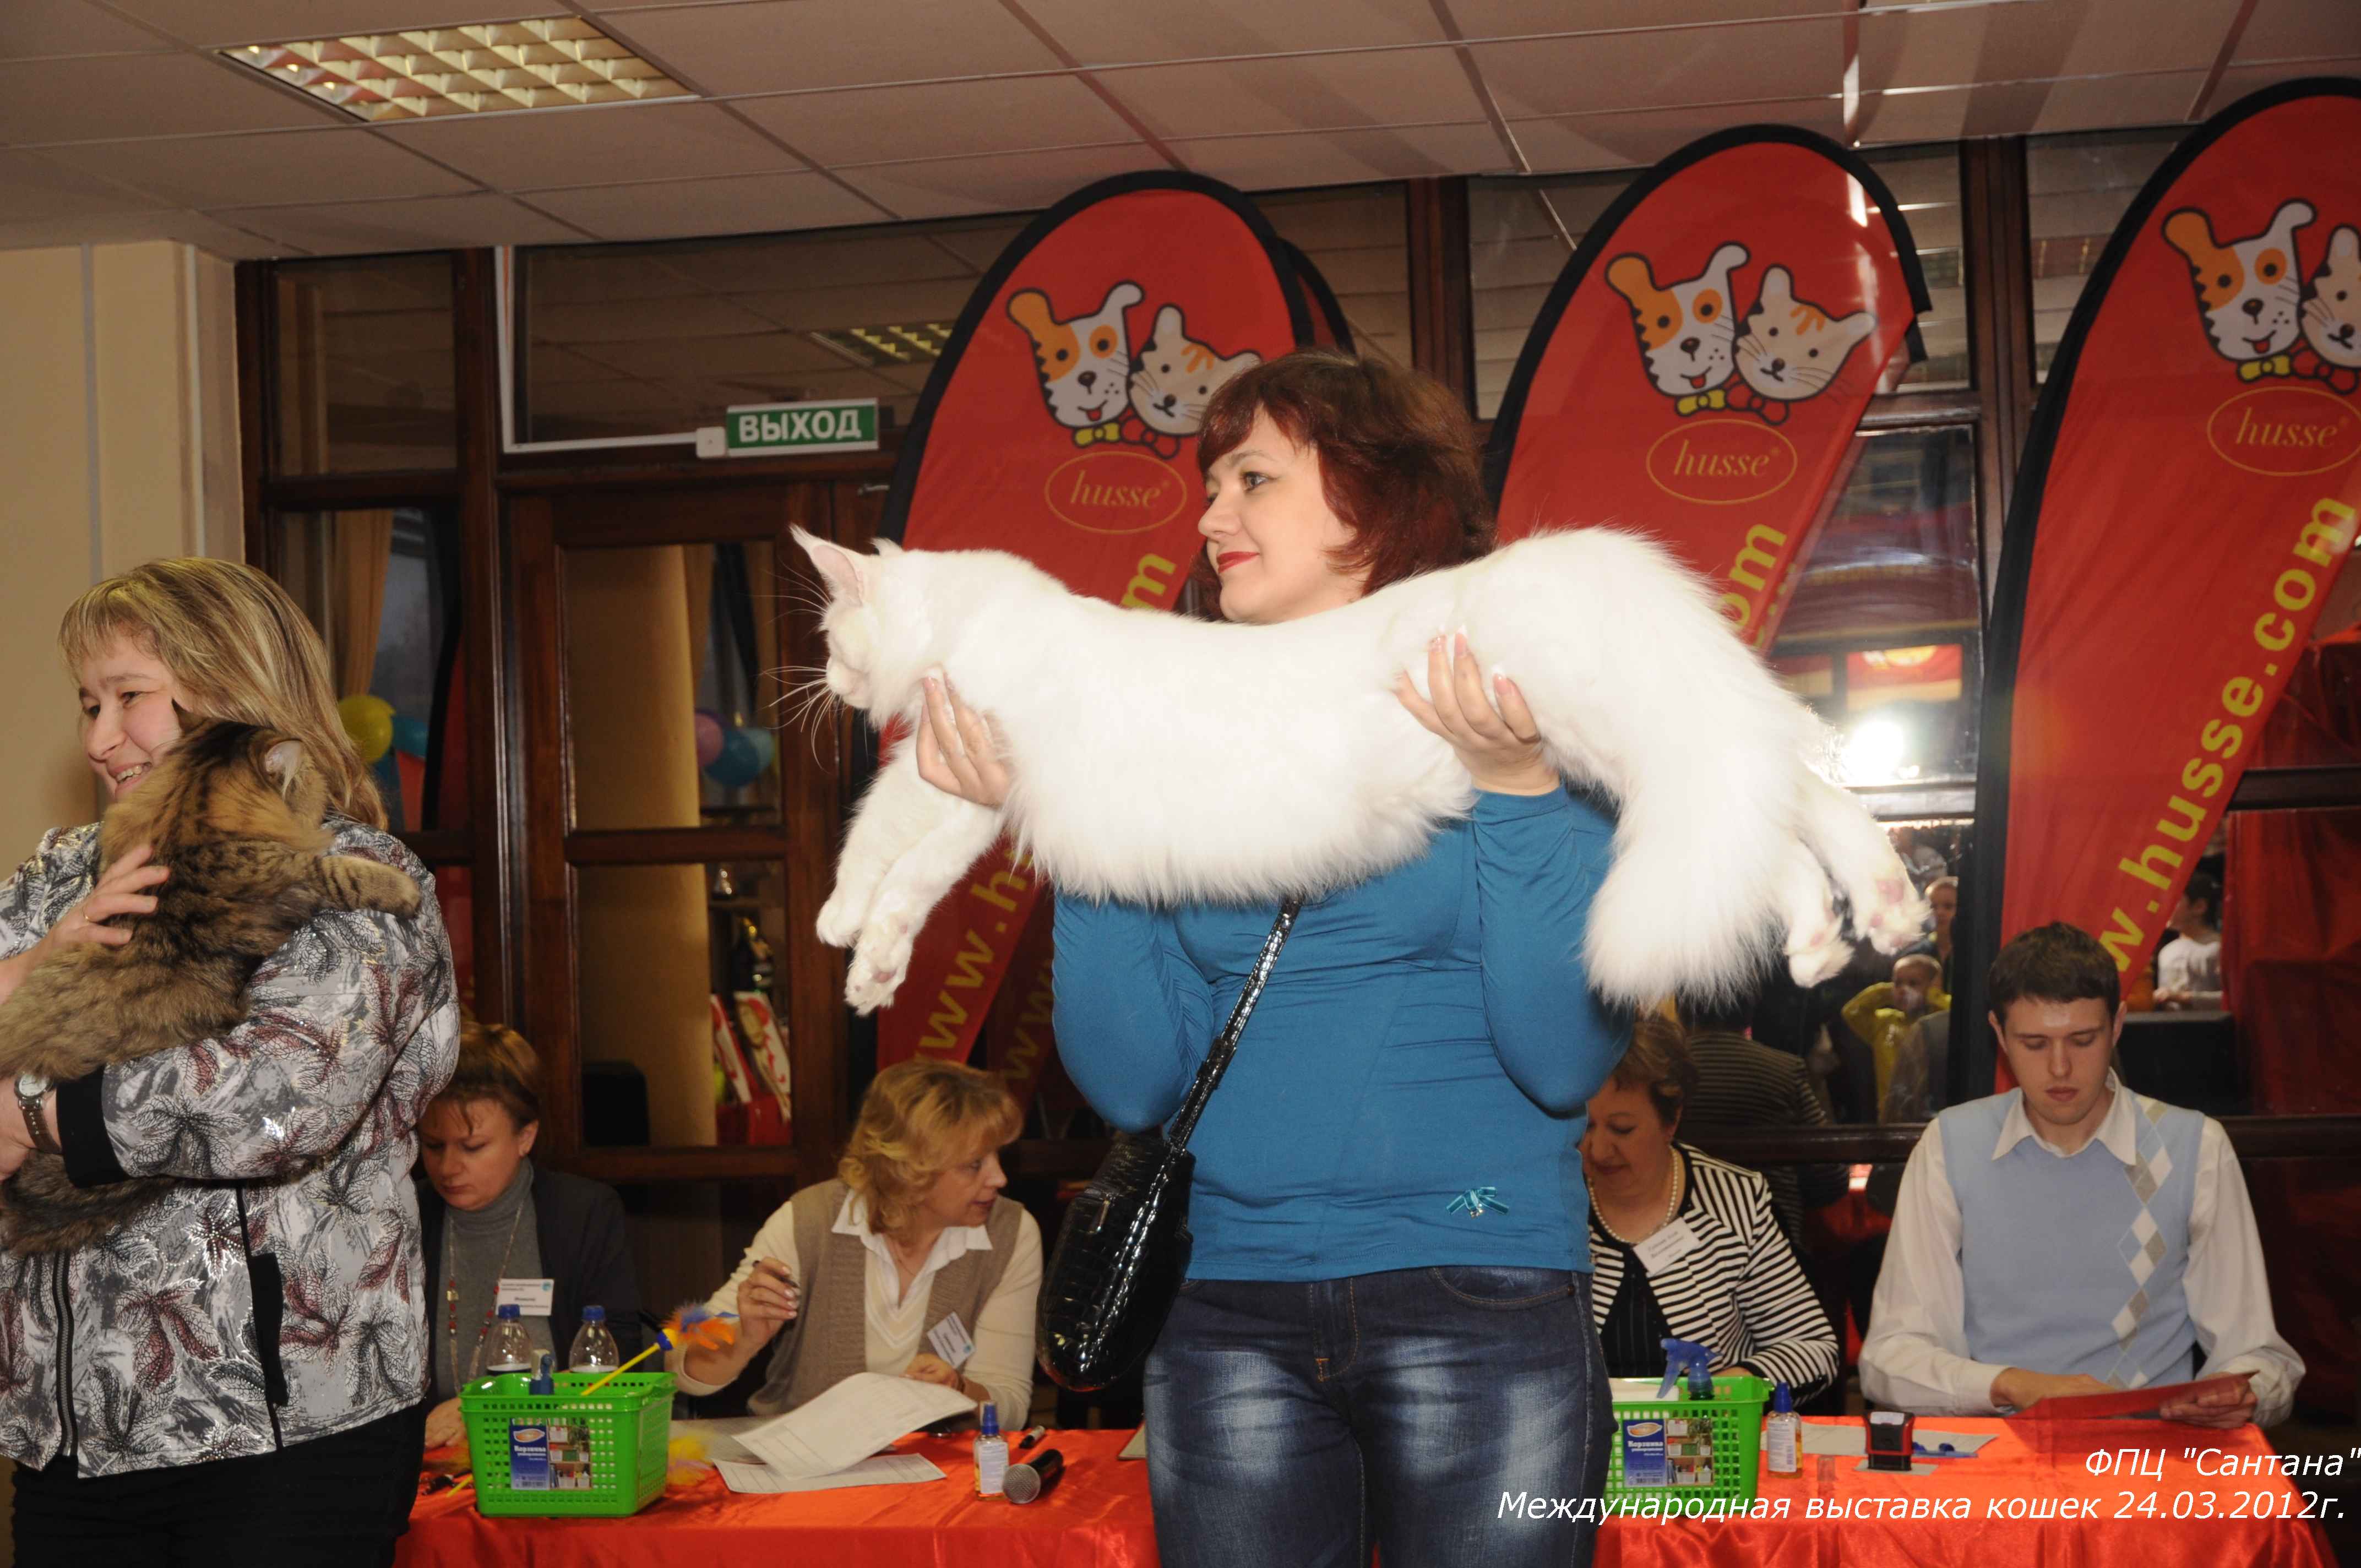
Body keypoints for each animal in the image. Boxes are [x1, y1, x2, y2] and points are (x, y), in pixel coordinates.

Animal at [0, 719, 421, 1253]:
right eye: (309, 778)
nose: (325, 787)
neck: (187, 815)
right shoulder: (295, 873)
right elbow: (348, 871)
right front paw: (406, 888)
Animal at [793, 527, 1925, 1016]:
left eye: (829, 632)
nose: (828, 680)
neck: (966, 620)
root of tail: (1563, 557)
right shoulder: (952, 786)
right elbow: (880, 851)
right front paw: (847, 937)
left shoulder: (967, 786)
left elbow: (902, 873)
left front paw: (863, 954)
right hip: (1648, 755)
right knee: (1779, 822)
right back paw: (1841, 931)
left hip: (1618, 732)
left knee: (1787, 796)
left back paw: (1874, 906)